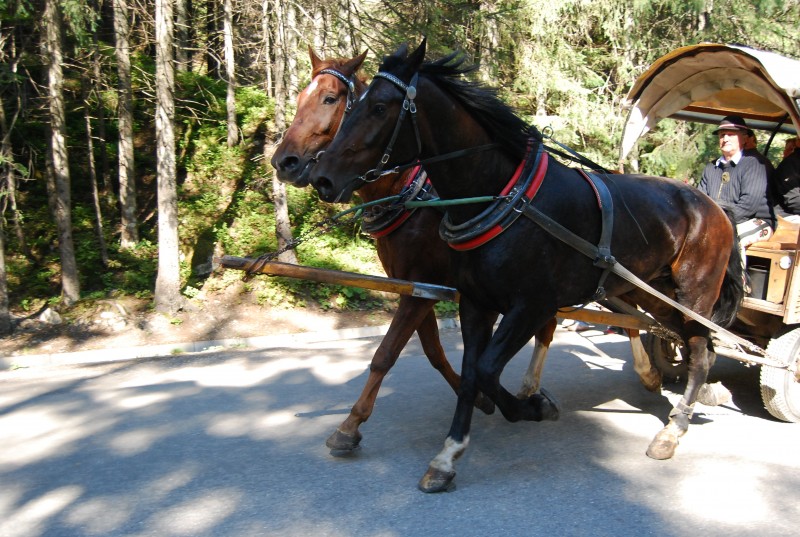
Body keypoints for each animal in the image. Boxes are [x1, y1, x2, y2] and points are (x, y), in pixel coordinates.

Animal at [310, 42, 748, 492]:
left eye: (378, 107)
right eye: (355, 103)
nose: (320, 177)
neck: (503, 197)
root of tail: (714, 207)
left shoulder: (529, 305)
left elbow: (483, 369)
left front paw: (535, 408)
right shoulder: (473, 302)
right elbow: (470, 371)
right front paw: (449, 455)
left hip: (693, 294)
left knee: (700, 353)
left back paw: (673, 429)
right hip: (652, 293)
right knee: (682, 341)